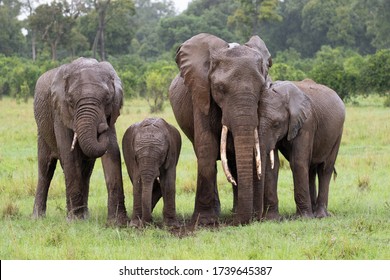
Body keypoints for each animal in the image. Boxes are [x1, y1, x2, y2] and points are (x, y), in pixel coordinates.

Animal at [33, 57, 128, 225]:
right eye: (71, 101)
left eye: (107, 98)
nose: (102, 127)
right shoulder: (59, 111)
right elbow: (69, 155)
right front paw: (75, 221)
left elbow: (112, 152)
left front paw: (117, 222)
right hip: (42, 130)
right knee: (46, 168)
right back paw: (38, 217)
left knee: (86, 170)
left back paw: (84, 215)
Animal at [169, 32, 272, 225]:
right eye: (220, 88)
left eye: (262, 89)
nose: (252, 219)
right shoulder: (201, 94)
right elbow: (207, 146)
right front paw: (205, 221)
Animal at [258, 79, 346, 221]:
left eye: (276, 124)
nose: (259, 218)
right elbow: (273, 165)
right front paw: (272, 219)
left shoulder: (307, 123)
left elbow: (297, 162)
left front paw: (303, 218)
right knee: (310, 169)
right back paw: (314, 212)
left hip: (337, 133)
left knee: (324, 169)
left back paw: (320, 215)